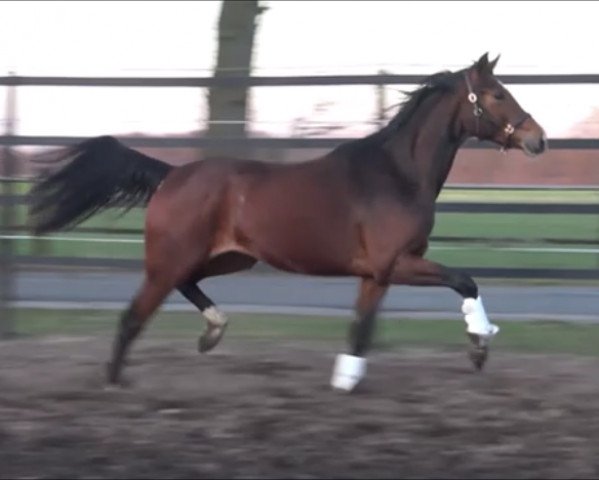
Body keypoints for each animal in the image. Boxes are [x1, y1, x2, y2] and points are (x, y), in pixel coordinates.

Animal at [28, 53, 548, 390]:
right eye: (497, 94)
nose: (538, 139)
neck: (397, 174)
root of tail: (171, 174)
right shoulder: (395, 264)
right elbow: (465, 281)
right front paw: (479, 347)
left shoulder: (375, 275)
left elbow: (361, 329)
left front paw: (346, 379)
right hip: (173, 259)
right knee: (132, 317)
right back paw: (117, 382)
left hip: (228, 258)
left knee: (185, 286)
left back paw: (213, 330)